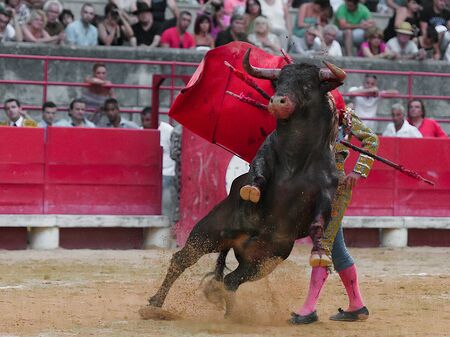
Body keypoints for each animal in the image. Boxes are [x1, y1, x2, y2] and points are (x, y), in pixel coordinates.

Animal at [142, 51, 346, 316]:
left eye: (308, 85)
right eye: (278, 82)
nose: (277, 101)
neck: (296, 157)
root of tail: (237, 241)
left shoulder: (327, 190)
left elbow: (319, 221)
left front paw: (320, 252)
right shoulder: (264, 156)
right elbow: (258, 172)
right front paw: (251, 190)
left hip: (263, 261)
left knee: (231, 281)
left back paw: (231, 314)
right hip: (208, 231)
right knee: (182, 260)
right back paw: (155, 303)